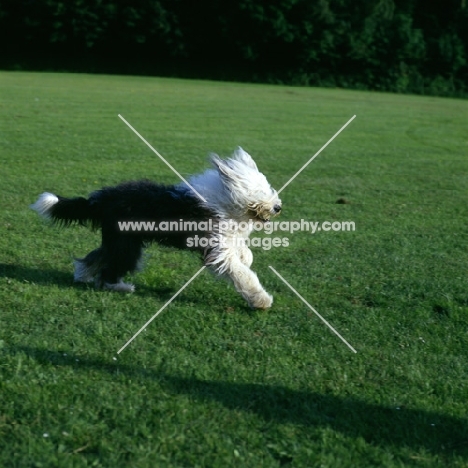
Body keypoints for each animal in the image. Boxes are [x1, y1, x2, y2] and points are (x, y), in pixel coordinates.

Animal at [33, 148, 284, 308]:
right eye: (259, 191)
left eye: (267, 187)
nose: (278, 207)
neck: (225, 201)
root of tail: (100, 199)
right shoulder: (216, 247)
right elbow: (241, 273)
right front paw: (261, 300)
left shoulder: (226, 237)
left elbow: (242, 252)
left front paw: (246, 257)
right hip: (127, 245)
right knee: (110, 269)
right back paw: (121, 287)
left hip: (119, 240)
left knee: (98, 256)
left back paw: (82, 275)